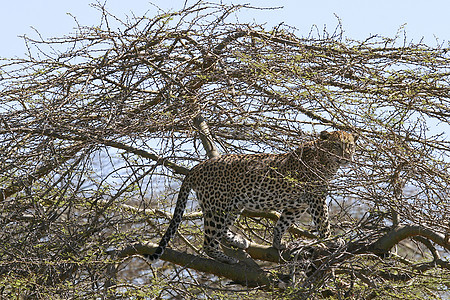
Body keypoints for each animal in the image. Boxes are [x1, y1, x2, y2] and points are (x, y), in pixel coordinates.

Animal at [146, 130, 356, 264]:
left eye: (350, 146)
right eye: (337, 145)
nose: (347, 157)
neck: (327, 161)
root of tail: (197, 167)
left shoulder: (298, 205)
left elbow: (282, 223)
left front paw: (277, 243)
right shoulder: (316, 198)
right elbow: (323, 222)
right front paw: (332, 241)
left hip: (231, 205)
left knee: (222, 229)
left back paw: (239, 241)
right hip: (217, 206)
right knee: (209, 242)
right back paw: (228, 259)